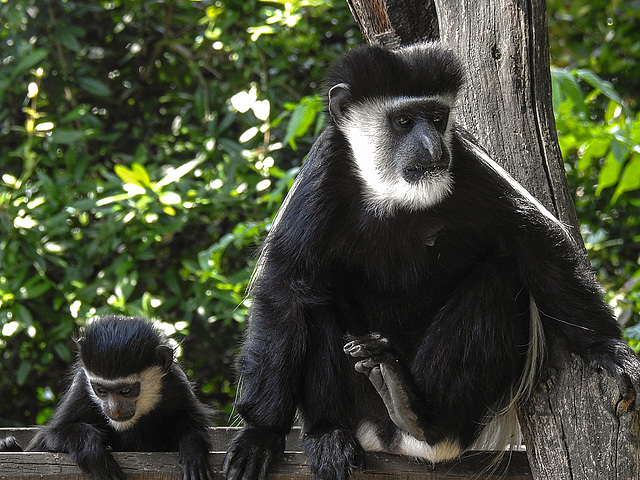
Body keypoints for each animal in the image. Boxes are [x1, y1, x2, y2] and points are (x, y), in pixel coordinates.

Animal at [0, 316, 215, 480]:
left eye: (126, 391)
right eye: (101, 390)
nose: (114, 409)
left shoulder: (175, 384)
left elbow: (191, 420)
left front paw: (193, 451)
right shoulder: (81, 389)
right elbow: (50, 436)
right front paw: (95, 456)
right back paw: (8, 446)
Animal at [225, 42, 640, 480]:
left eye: (437, 119)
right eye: (404, 121)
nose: (432, 148)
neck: (393, 194)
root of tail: (393, 439)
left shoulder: (467, 162)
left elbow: (536, 241)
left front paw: (609, 348)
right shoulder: (324, 172)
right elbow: (285, 285)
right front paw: (260, 435)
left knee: (500, 278)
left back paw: (415, 408)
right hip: (361, 407)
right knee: (315, 296)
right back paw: (330, 435)